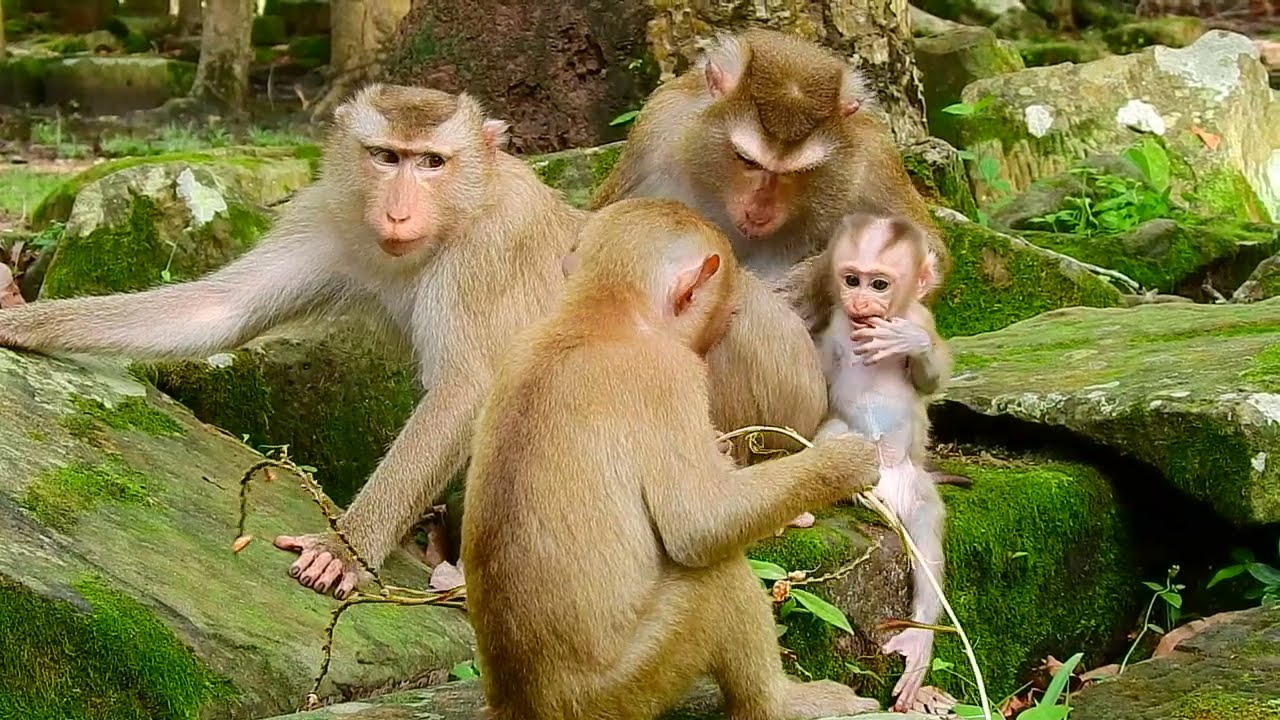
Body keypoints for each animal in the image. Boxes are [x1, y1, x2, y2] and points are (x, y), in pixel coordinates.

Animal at [0, 83, 588, 599]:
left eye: (432, 162)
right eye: (385, 157)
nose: (397, 213)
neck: (463, 212)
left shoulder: (492, 247)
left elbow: (464, 388)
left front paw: (345, 550)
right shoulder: (326, 214)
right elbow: (220, 309)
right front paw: (21, 321)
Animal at [462, 198, 884, 720]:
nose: (719, 328)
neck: (596, 315)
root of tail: (526, 703)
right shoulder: (670, 375)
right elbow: (699, 525)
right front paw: (844, 463)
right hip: (629, 685)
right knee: (713, 577)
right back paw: (780, 702)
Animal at [590, 28, 948, 285]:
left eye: (795, 173)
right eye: (747, 160)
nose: (759, 212)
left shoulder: (872, 161)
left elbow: (928, 251)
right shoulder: (657, 128)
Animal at [784, 212, 953, 712]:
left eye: (879, 284)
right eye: (851, 279)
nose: (860, 300)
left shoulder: (923, 315)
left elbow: (928, 377)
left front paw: (910, 342)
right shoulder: (834, 328)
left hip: (909, 482)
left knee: (926, 524)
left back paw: (919, 637)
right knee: (836, 439)